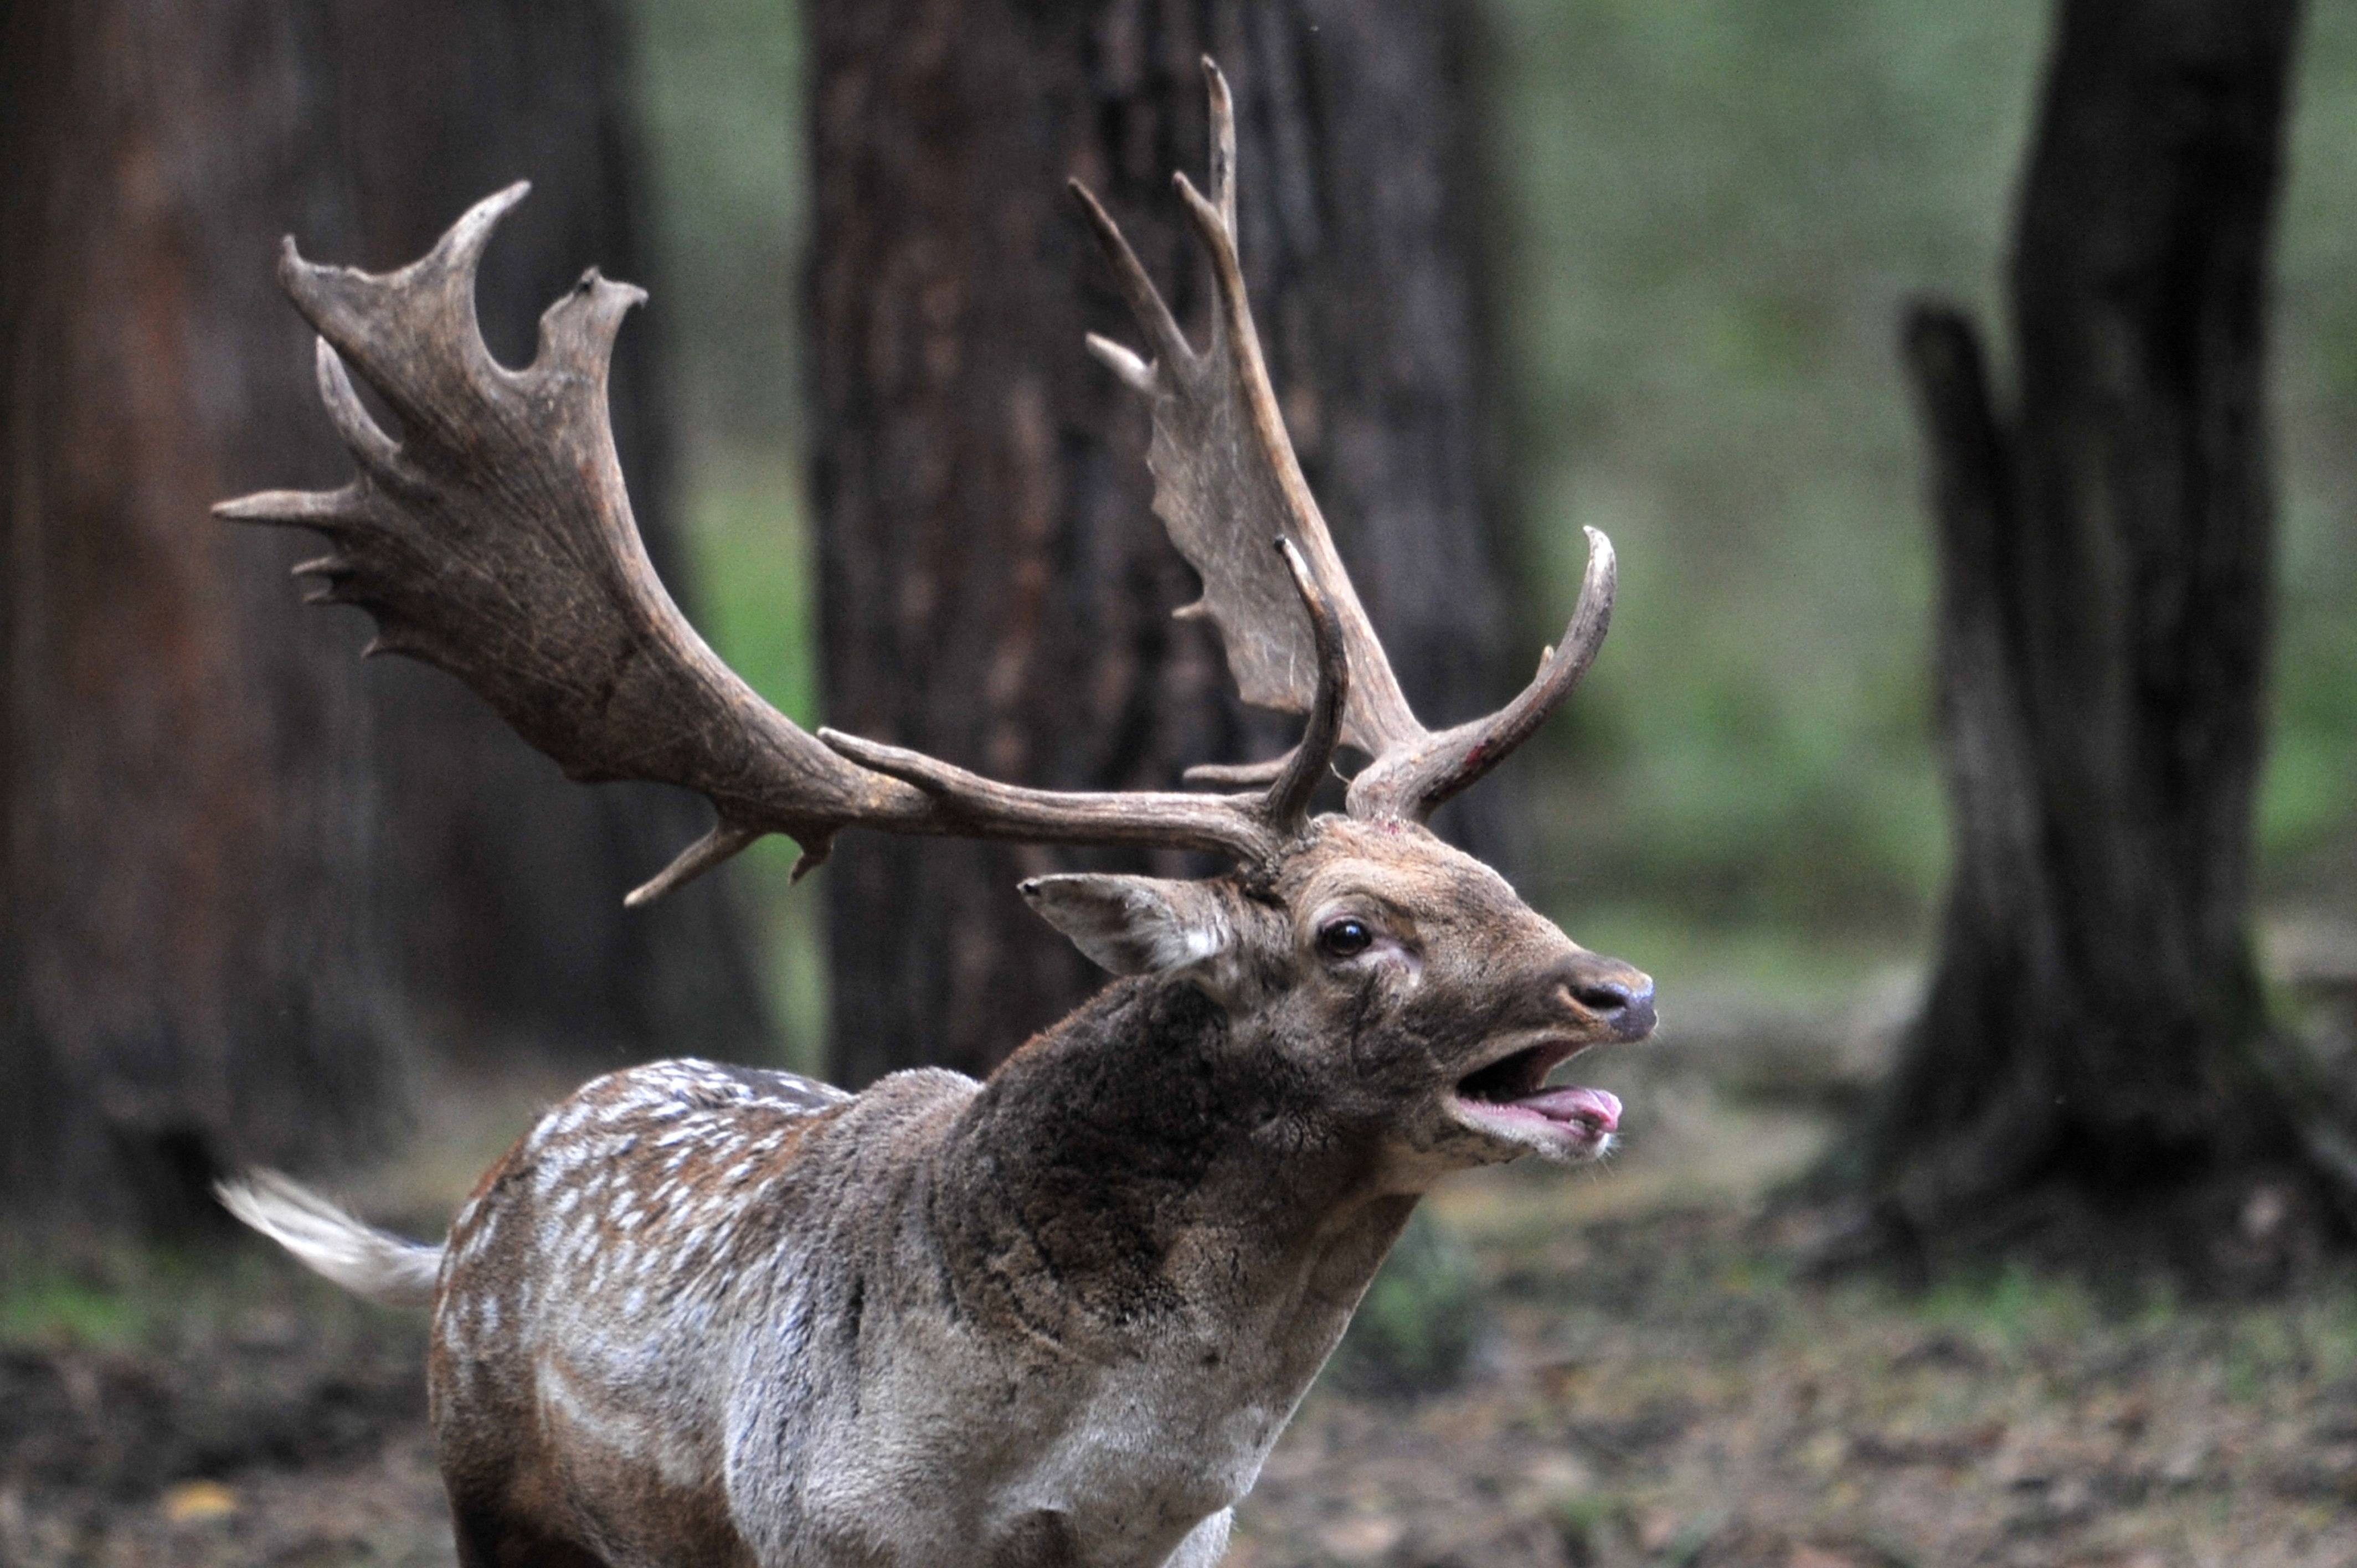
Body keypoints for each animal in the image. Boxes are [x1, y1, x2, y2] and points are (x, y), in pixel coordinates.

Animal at [217, 58, 1659, 1565]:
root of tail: (459, 1223)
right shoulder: (816, 1529)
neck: (1061, 1489)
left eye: (1481, 869)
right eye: (1346, 933)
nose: (1618, 988)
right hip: (494, 1498)